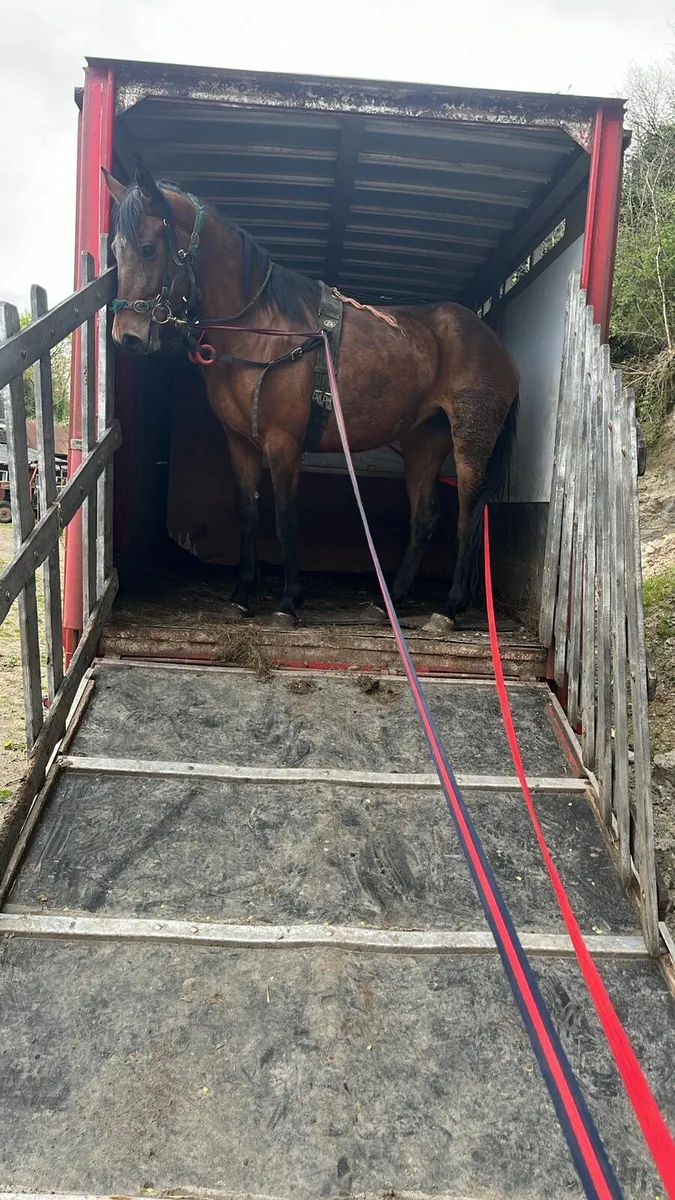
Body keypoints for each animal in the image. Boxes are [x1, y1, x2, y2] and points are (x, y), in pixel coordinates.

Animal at [103, 163, 520, 625]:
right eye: (115, 250)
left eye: (148, 247)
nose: (127, 337)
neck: (262, 329)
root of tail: (495, 343)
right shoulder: (240, 443)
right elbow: (248, 514)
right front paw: (242, 593)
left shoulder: (284, 441)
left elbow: (286, 518)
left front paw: (289, 600)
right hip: (423, 440)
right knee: (425, 518)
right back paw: (392, 597)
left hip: (470, 443)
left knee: (468, 516)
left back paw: (450, 606)